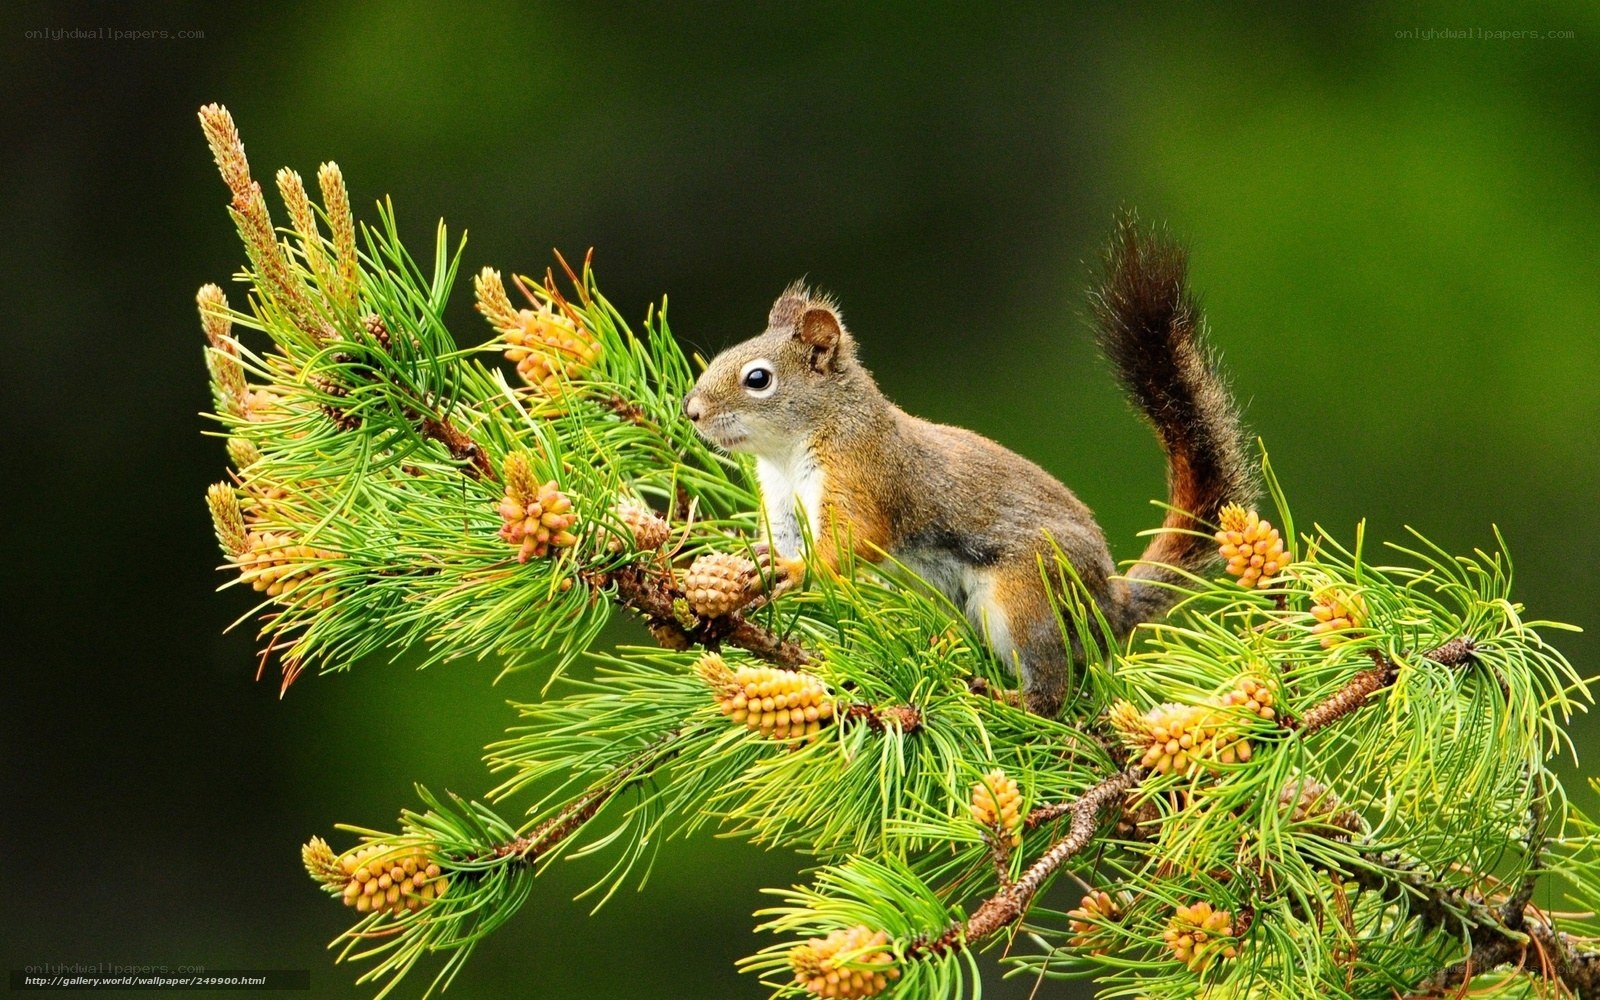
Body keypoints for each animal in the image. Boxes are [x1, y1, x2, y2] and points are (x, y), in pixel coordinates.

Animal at [681, 214, 1254, 716]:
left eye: (758, 378)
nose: (692, 411)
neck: (789, 452)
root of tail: (1108, 604)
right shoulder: (782, 504)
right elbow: (781, 540)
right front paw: (754, 561)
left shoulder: (863, 477)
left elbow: (852, 541)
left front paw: (797, 570)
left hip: (1026, 596)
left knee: (1053, 688)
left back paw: (1009, 699)